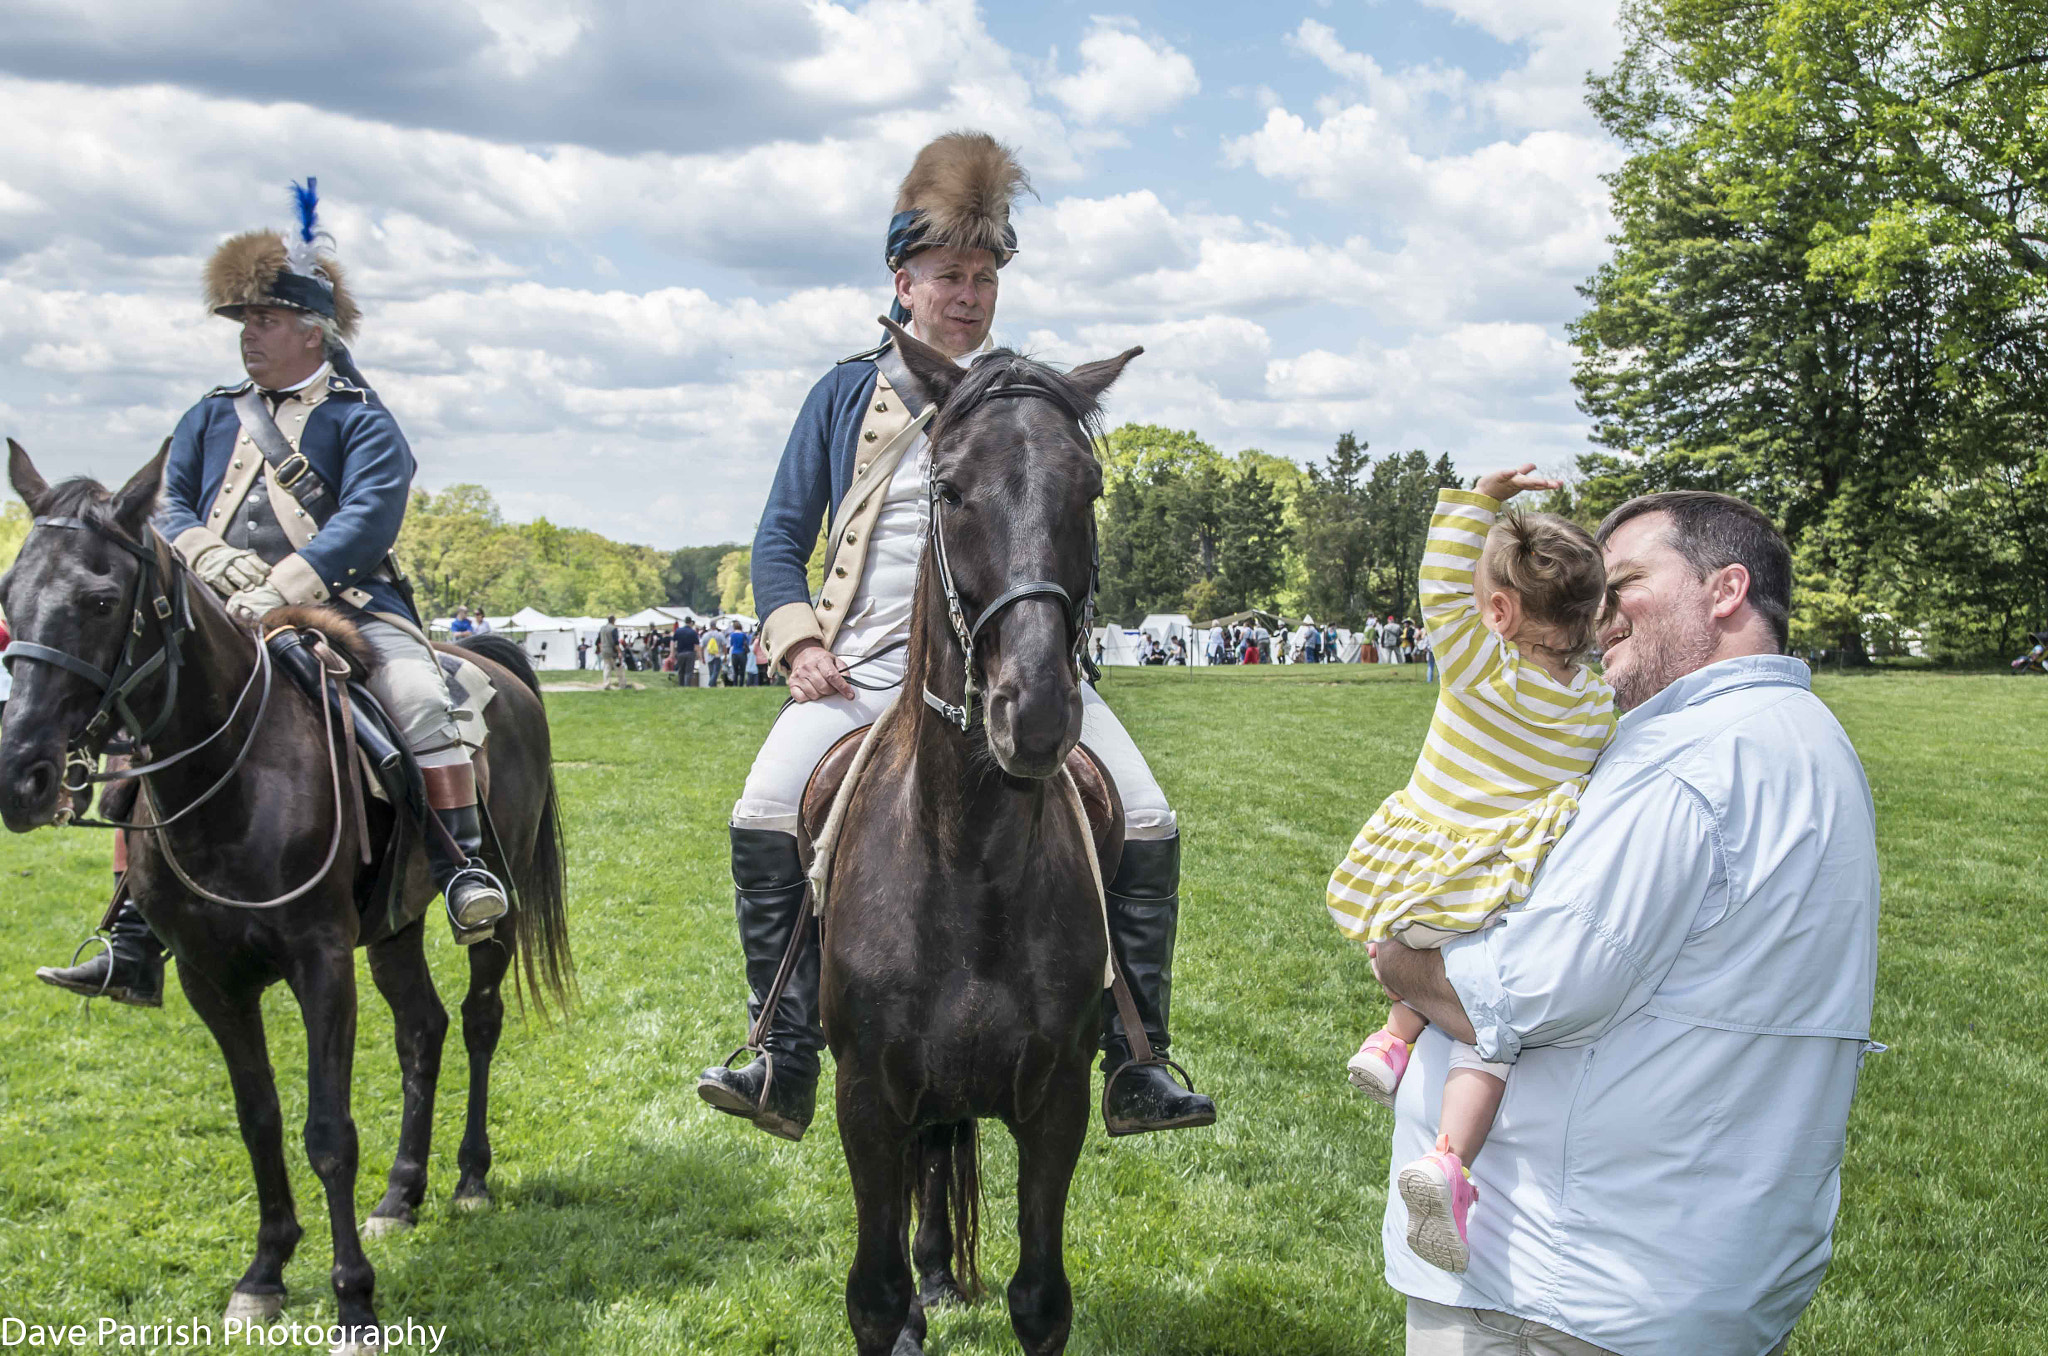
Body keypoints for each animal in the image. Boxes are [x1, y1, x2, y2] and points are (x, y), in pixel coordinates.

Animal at [0, 444, 569, 1351]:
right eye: (8, 595)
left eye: (99, 599)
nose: (21, 773)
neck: (235, 773)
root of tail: (492, 663)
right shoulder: (211, 981)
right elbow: (260, 1119)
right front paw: (265, 1272)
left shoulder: (320, 964)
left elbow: (328, 1131)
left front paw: (354, 1302)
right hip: (394, 927)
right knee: (422, 1031)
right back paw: (400, 1193)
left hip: (495, 912)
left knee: (479, 1020)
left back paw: (469, 1179)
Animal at [815, 321, 1138, 1356]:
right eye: (949, 488)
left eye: (1089, 489)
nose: (1031, 713)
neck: (969, 865)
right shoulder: (867, 1103)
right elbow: (875, 1299)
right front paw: (909, 1304)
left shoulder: (1056, 1102)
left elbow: (1040, 1298)